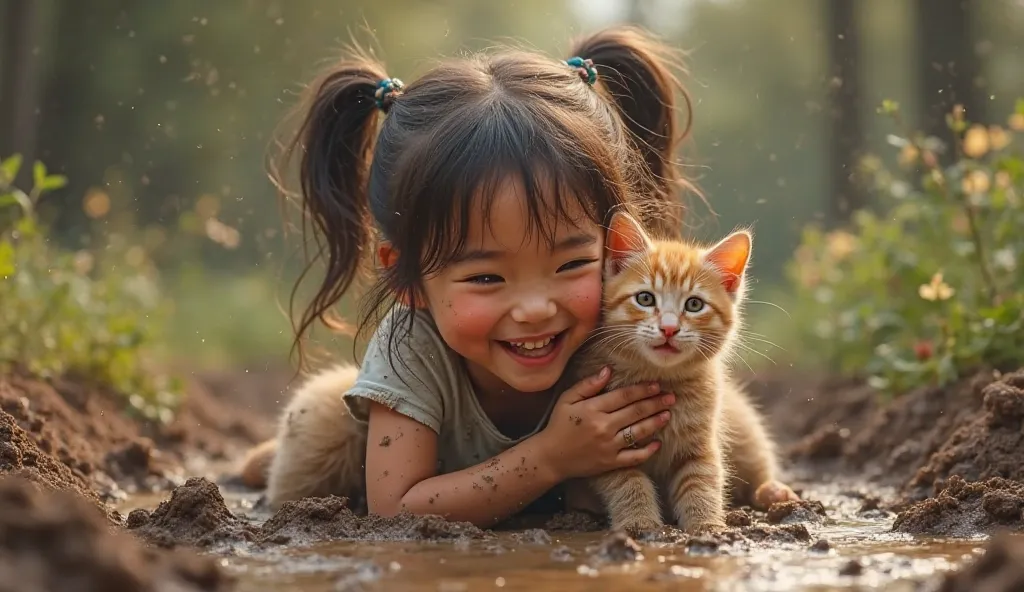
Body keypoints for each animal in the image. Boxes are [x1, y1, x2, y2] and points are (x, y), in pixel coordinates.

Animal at [569, 209, 798, 532]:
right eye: (645, 298)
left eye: (694, 305)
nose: (668, 328)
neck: (661, 379)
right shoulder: (604, 443)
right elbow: (628, 482)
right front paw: (639, 522)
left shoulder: (700, 444)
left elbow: (701, 482)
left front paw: (707, 526)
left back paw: (773, 491)